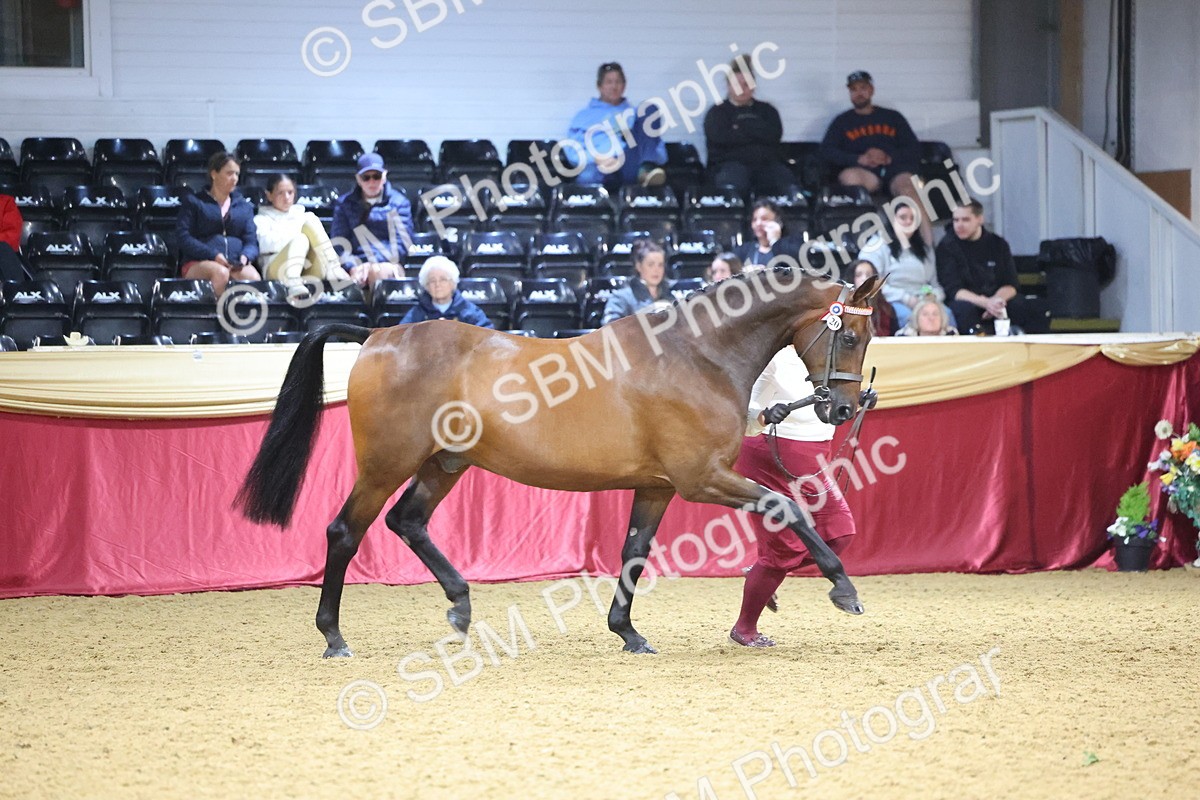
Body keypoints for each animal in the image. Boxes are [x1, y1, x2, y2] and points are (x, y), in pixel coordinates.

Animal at [237, 267, 881, 656]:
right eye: (850, 336)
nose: (845, 408)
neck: (695, 356)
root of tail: (377, 335)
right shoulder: (703, 479)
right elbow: (786, 505)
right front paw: (844, 588)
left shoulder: (658, 487)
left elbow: (632, 553)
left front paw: (628, 634)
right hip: (385, 465)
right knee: (345, 531)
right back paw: (334, 636)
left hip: (445, 464)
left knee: (407, 521)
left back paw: (460, 606)